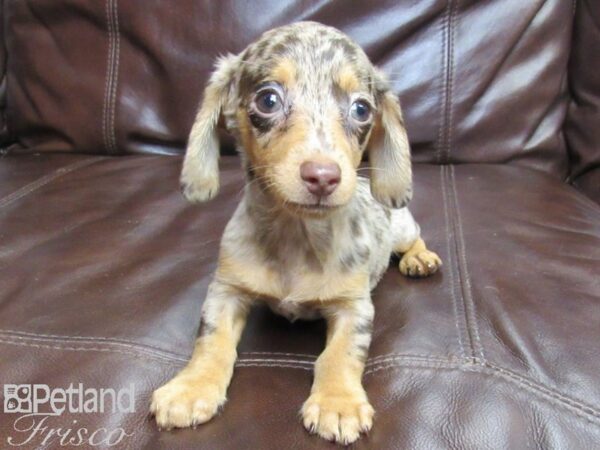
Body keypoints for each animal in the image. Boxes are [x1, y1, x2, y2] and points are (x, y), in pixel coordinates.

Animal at [150, 20, 440, 442]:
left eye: (361, 108)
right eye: (268, 100)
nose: (323, 176)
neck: (297, 237)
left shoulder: (354, 307)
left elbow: (339, 354)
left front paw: (337, 402)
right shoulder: (226, 291)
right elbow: (211, 340)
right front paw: (192, 387)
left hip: (401, 226)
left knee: (414, 236)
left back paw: (420, 258)